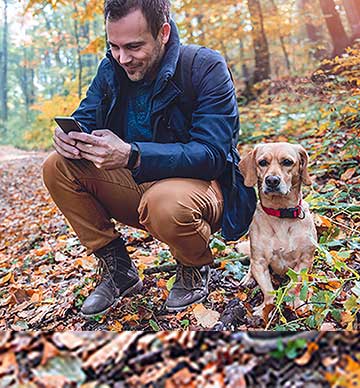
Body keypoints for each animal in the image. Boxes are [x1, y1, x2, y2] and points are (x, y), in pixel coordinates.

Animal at [240, 142, 316, 316]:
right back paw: (248, 278)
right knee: (251, 267)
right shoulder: (260, 262)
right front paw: (265, 309)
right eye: (262, 162)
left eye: (287, 162)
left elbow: (294, 285)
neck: (281, 213)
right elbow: (268, 291)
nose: (272, 180)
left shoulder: (305, 260)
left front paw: (295, 303)